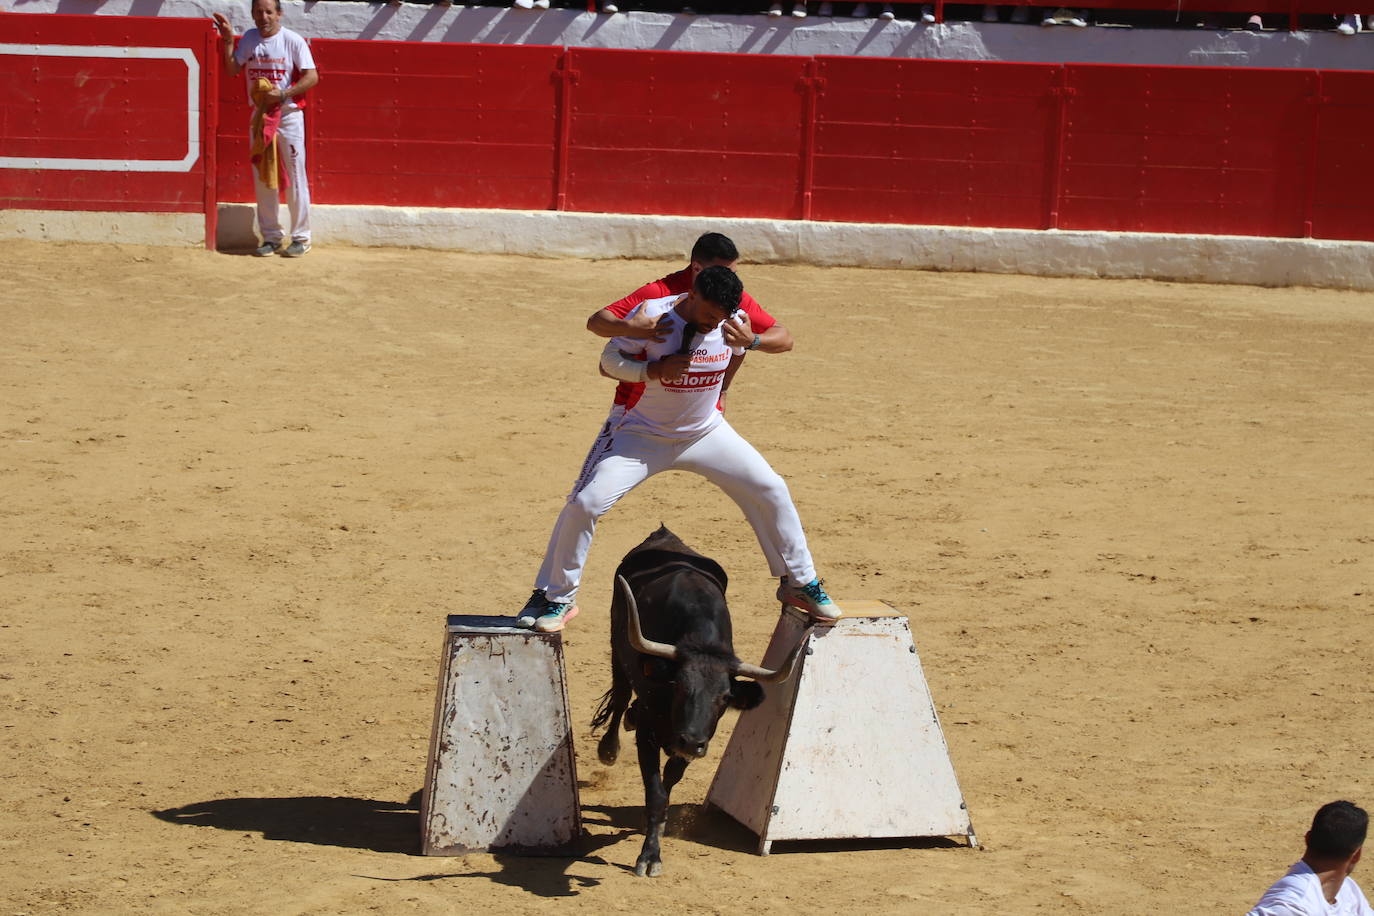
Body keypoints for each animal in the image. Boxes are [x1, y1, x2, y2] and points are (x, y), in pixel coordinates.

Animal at [585, 527, 802, 878]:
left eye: (725, 697)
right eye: (679, 687)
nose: (689, 741)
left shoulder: (699, 740)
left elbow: (669, 783)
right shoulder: (649, 734)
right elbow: (656, 795)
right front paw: (649, 857)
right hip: (617, 644)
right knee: (619, 696)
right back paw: (609, 748)